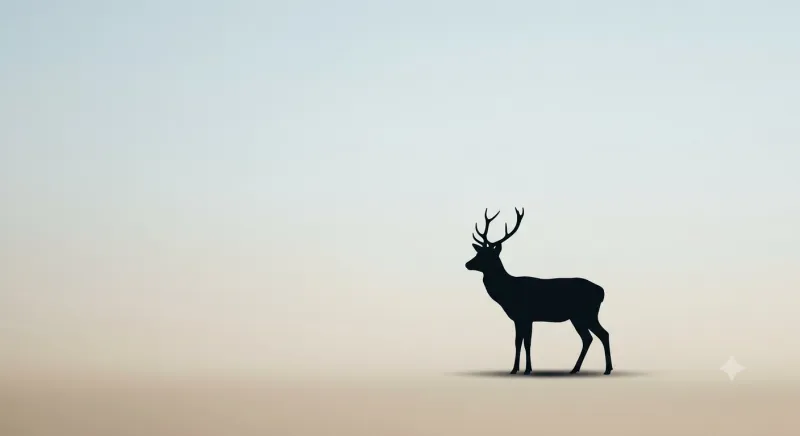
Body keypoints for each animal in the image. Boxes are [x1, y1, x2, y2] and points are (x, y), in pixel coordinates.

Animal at [465, 208, 613, 375]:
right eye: (478, 253)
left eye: (487, 255)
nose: (467, 264)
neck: (508, 292)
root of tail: (601, 291)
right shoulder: (519, 318)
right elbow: (518, 342)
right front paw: (516, 369)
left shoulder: (526, 316)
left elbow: (526, 343)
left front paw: (526, 369)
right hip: (577, 317)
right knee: (588, 338)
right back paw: (575, 368)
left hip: (587, 313)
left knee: (603, 334)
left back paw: (607, 369)